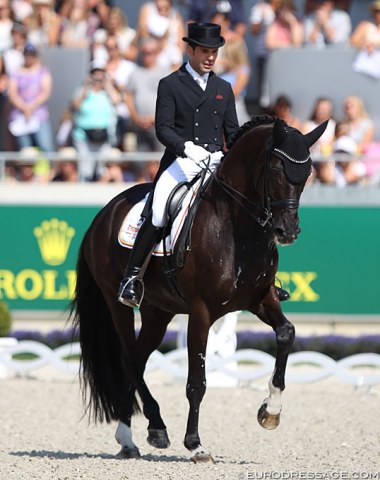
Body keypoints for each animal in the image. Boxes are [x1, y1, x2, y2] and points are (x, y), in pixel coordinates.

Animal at [70, 114, 326, 464]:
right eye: (275, 169)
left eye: (308, 173)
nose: (287, 232)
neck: (238, 226)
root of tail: (104, 214)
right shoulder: (201, 311)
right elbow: (197, 382)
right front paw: (195, 444)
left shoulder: (261, 298)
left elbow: (287, 333)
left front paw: (270, 411)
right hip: (117, 302)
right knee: (129, 359)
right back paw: (157, 428)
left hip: (157, 312)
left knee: (137, 359)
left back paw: (128, 439)